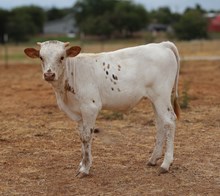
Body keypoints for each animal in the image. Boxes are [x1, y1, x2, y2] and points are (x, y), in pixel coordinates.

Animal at [24, 40, 180, 177]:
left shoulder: (90, 107)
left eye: (62, 57)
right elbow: (81, 136)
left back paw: (165, 164)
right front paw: (82, 163)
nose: (49, 74)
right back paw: (153, 159)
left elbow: (87, 137)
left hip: (161, 96)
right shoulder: (79, 113)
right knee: (160, 124)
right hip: (154, 99)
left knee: (169, 122)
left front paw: (85, 169)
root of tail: (162, 44)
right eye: (41, 57)